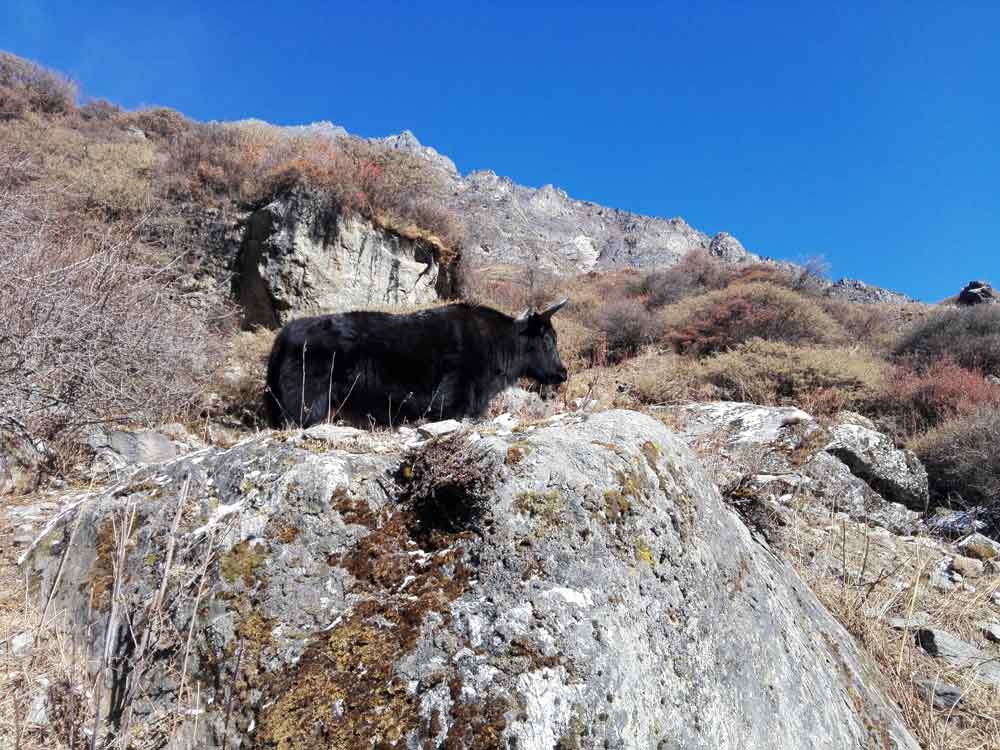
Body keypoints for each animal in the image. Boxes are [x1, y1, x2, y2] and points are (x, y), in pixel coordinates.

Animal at [264, 299, 570, 429]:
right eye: (547, 339)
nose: (562, 373)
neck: (496, 341)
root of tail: (283, 336)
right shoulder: (454, 398)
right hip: (307, 402)